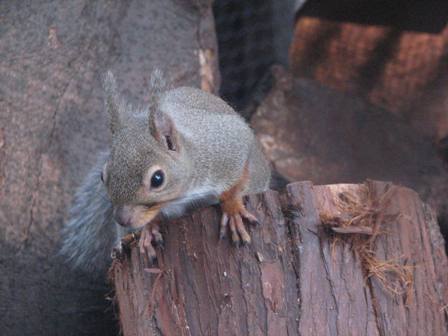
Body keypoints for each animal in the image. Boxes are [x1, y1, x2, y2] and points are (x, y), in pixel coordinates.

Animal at [59, 70, 270, 272]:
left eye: (157, 179)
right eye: (103, 176)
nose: (122, 219)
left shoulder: (230, 144)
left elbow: (239, 177)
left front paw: (233, 208)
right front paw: (149, 229)